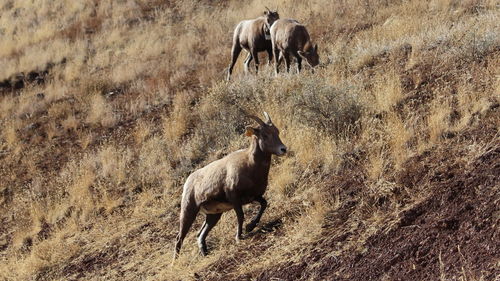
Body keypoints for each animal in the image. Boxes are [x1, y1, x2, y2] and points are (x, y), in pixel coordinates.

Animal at [174, 111, 288, 256]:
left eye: (277, 132)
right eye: (265, 135)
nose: (283, 149)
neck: (250, 165)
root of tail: (188, 182)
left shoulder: (254, 196)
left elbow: (264, 204)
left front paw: (250, 227)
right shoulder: (235, 199)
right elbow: (240, 216)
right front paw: (239, 237)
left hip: (213, 215)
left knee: (200, 234)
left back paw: (204, 253)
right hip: (189, 211)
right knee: (179, 238)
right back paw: (176, 260)